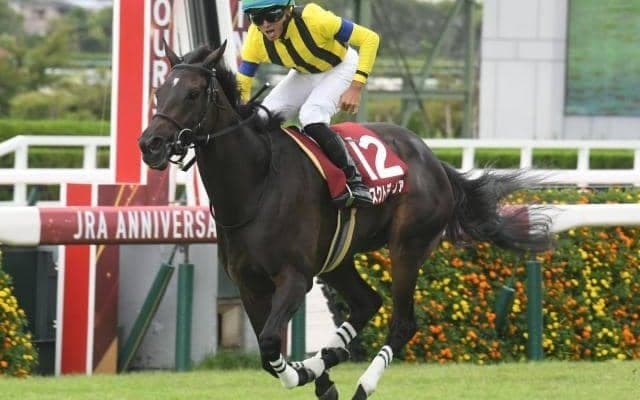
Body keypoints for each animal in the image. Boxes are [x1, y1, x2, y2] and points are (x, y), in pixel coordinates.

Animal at [138, 41, 552, 399]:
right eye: (159, 91)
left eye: (193, 93)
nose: (150, 144)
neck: (256, 186)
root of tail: (435, 161)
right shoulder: (249, 284)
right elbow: (267, 352)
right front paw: (315, 372)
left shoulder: (295, 277)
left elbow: (271, 344)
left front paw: (306, 372)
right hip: (337, 258)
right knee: (368, 302)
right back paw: (329, 357)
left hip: (407, 247)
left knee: (403, 322)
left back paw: (361, 384)